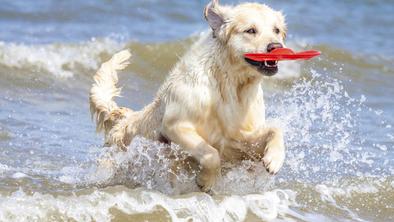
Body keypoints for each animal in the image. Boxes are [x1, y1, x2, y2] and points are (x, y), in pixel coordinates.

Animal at [89, 0, 286, 192]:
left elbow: (275, 128)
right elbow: (211, 153)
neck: (232, 87)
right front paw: (206, 181)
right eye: (251, 30)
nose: (276, 47)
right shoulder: (175, 126)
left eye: (276, 30)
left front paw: (274, 159)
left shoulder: (243, 141)